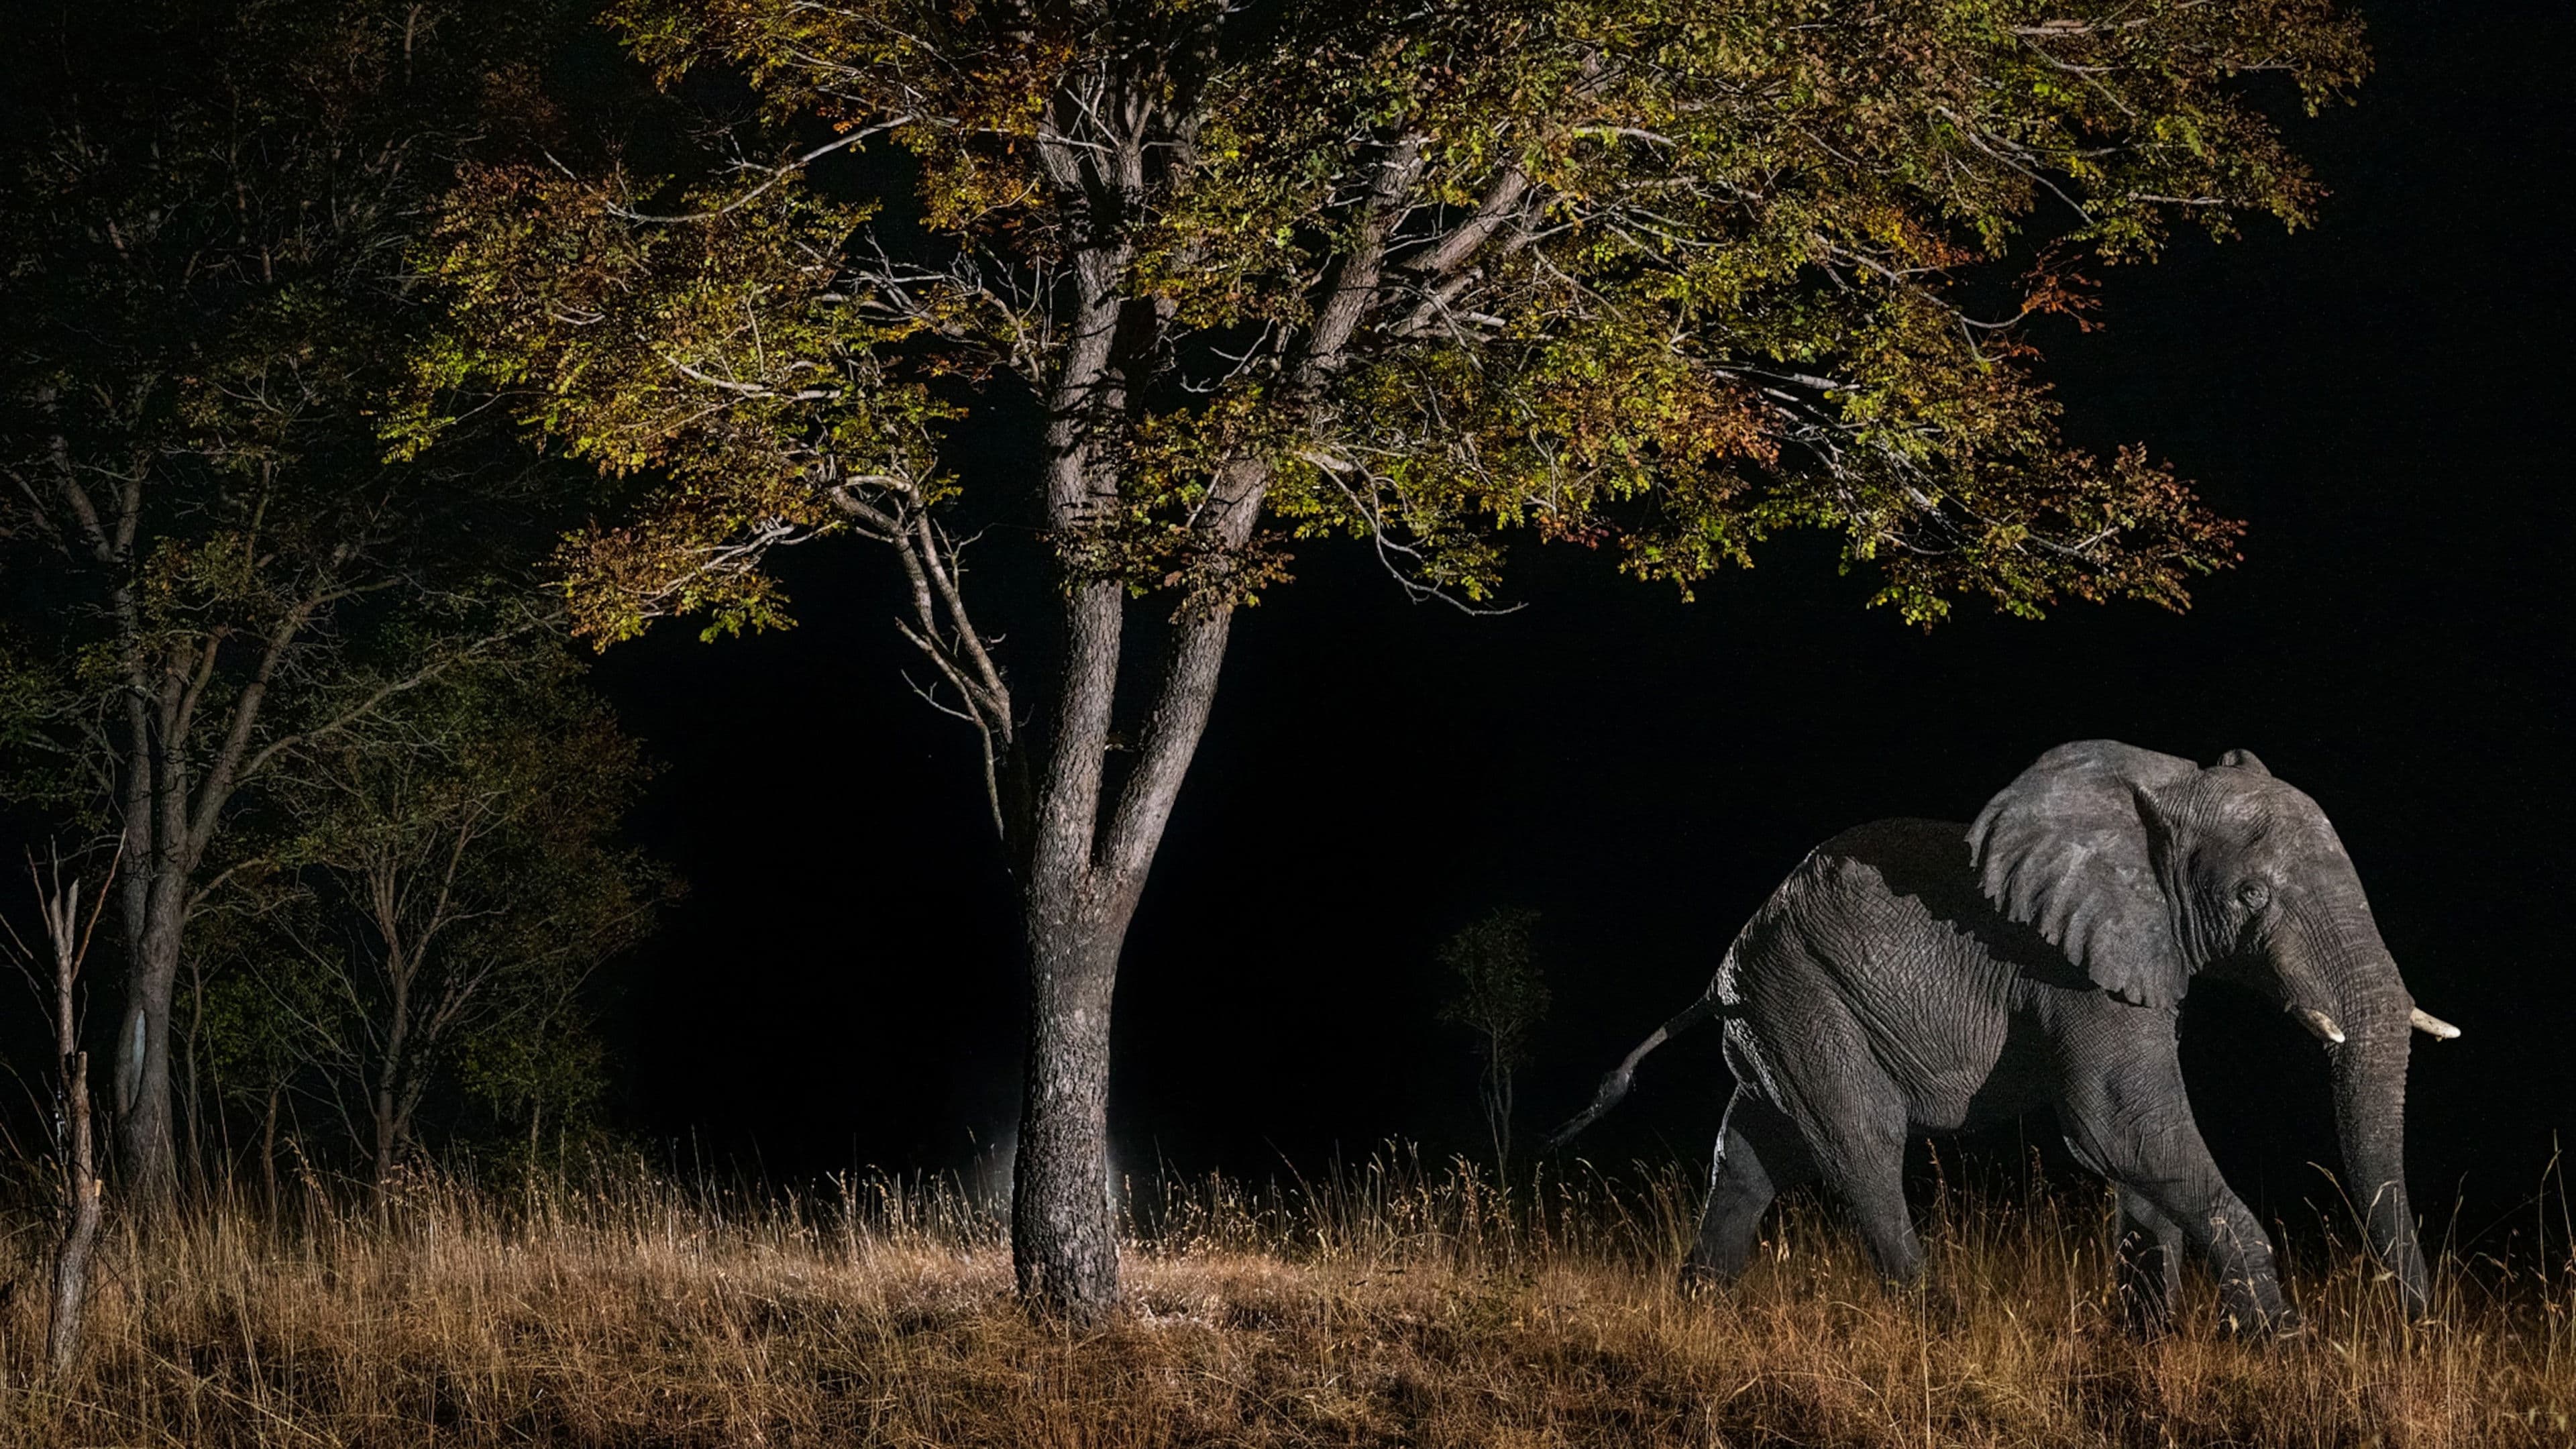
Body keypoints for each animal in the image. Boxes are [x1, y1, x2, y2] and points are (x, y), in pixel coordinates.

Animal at [1547, 740, 2460, 1333]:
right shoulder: (2069, 966)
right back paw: (1937, 1323)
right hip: (1804, 995)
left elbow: (2140, 1152)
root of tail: (1718, 982)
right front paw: (2286, 1344)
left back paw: (1698, 1314)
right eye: (2250, 898)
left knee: (1746, 1158)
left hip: (1775, 1015)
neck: (2161, 792)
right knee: (1861, 1145)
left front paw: (2145, 1344)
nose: (2413, 1329)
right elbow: (2118, 1126)